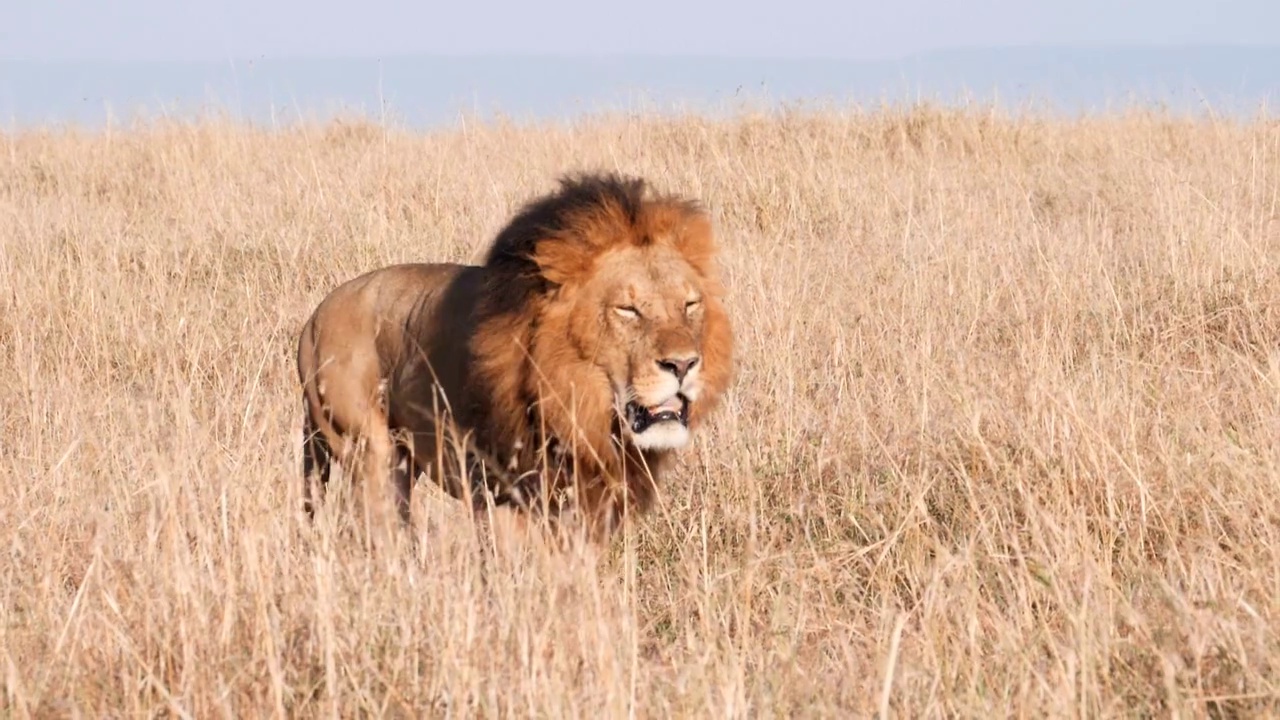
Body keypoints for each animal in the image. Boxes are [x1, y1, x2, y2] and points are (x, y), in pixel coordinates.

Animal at [290, 170, 732, 540]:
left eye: (690, 305)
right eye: (628, 310)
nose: (683, 364)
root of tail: (314, 318)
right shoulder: (502, 495)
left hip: (401, 460)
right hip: (366, 450)